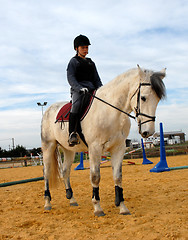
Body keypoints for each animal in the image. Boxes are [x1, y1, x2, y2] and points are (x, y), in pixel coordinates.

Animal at [41, 64, 166, 217]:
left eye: (158, 100)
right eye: (143, 98)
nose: (148, 132)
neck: (111, 111)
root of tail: (48, 109)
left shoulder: (119, 148)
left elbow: (118, 176)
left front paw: (122, 207)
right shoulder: (95, 148)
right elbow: (95, 176)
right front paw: (98, 208)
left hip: (69, 150)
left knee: (65, 171)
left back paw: (72, 199)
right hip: (48, 146)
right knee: (46, 173)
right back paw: (47, 203)